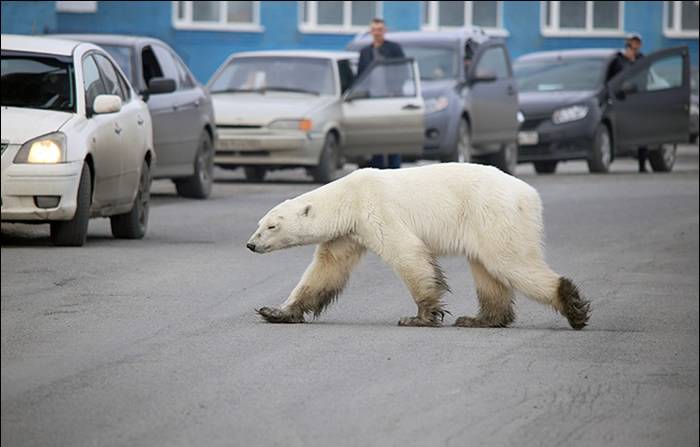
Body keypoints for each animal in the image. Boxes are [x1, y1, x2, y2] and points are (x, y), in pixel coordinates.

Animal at [246, 164, 592, 328]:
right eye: (259, 223)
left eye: (272, 226)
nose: (250, 245)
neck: (349, 197)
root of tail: (530, 195)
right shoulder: (348, 233)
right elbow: (325, 270)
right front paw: (275, 311)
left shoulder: (376, 210)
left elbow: (407, 254)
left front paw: (420, 317)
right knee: (487, 270)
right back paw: (479, 319)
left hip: (493, 214)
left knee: (509, 262)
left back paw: (572, 306)